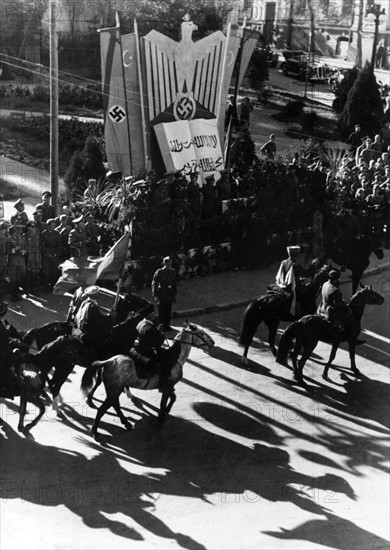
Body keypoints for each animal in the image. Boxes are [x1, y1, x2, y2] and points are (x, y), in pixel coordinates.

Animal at [79, 326, 213, 442]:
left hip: (115, 390)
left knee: (115, 405)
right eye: (201, 333)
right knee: (103, 409)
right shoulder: (167, 386)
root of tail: (108, 362)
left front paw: (166, 411)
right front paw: (161, 416)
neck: (175, 358)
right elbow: (165, 401)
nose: (212, 342)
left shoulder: (169, 387)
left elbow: (173, 398)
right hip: (114, 390)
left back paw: (126, 423)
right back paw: (95, 431)